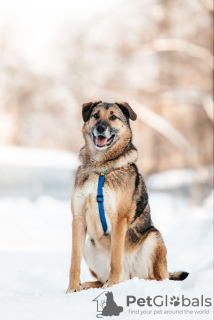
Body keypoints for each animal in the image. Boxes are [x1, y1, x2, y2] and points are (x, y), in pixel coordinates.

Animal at [66, 102, 188, 292]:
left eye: (113, 117)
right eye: (95, 115)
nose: (100, 128)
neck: (101, 168)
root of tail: (129, 276)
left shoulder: (119, 219)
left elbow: (115, 259)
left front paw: (112, 284)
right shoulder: (78, 219)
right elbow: (74, 262)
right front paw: (72, 288)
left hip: (153, 237)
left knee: (158, 278)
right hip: (88, 246)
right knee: (102, 279)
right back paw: (89, 284)